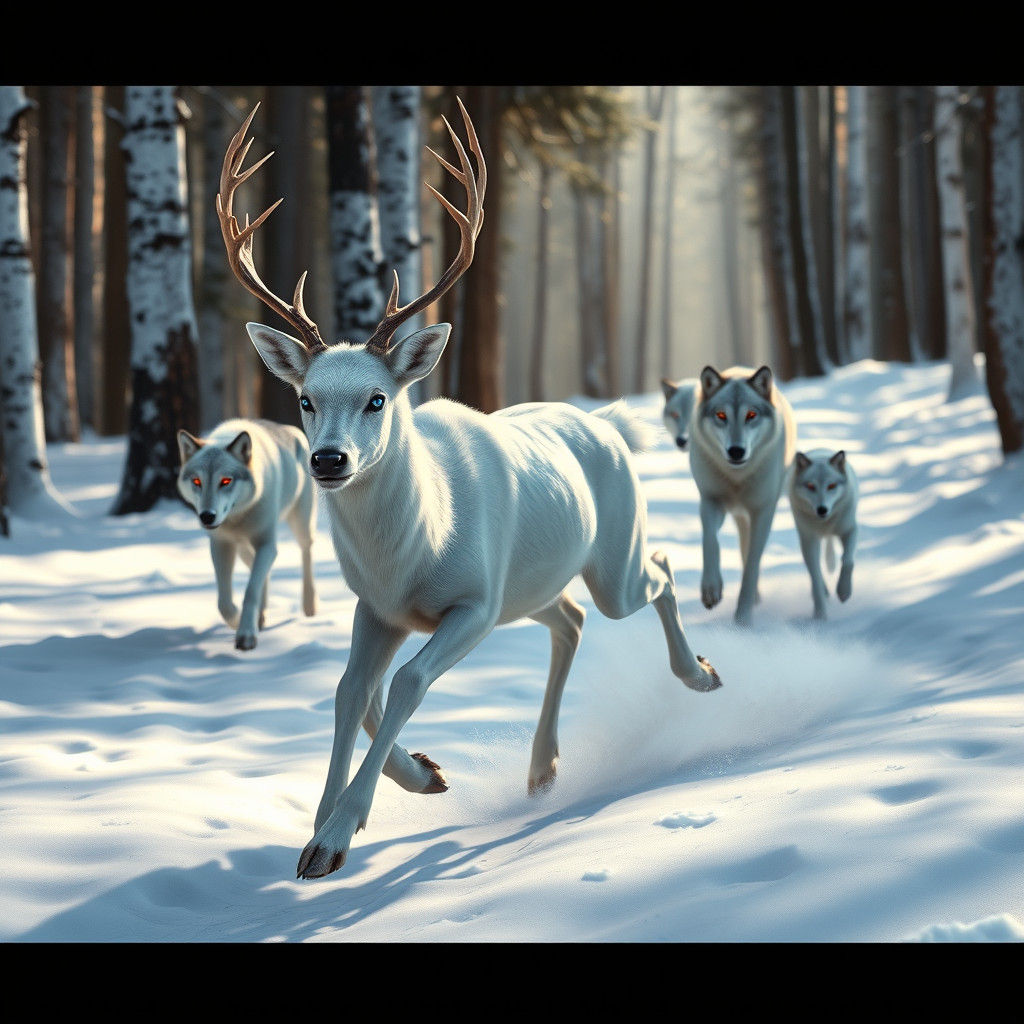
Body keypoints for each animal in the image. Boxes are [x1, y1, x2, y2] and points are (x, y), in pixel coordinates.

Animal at [216, 100, 723, 880]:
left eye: (377, 399)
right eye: (304, 399)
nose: (329, 460)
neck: (416, 547)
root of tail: (607, 424)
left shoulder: (474, 602)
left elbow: (403, 684)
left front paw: (339, 834)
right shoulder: (379, 607)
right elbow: (350, 690)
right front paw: (397, 789)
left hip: (605, 561)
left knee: (655, 572)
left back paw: (699, 674)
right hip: (532, 585)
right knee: (570, 619)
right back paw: (542, 768)